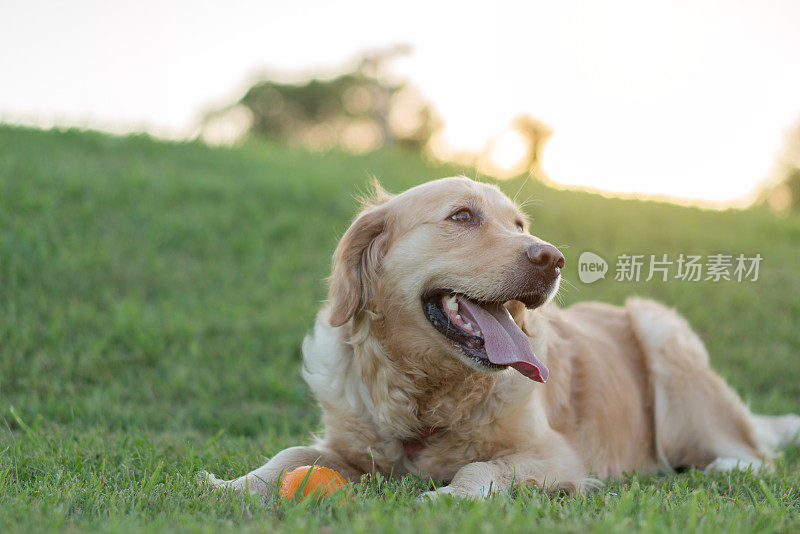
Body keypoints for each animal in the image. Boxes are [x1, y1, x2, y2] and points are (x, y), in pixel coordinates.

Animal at [205, 178, 800, 500]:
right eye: (462, 216)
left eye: (519, 225)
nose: (552, 258)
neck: (429, 393)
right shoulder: (350, 442)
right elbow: (291, 454)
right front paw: (233, 485)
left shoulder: (559, 457)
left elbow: (480, 466)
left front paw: (450, 498)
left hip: (661, 333)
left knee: (751, 454)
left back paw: (717, 465)